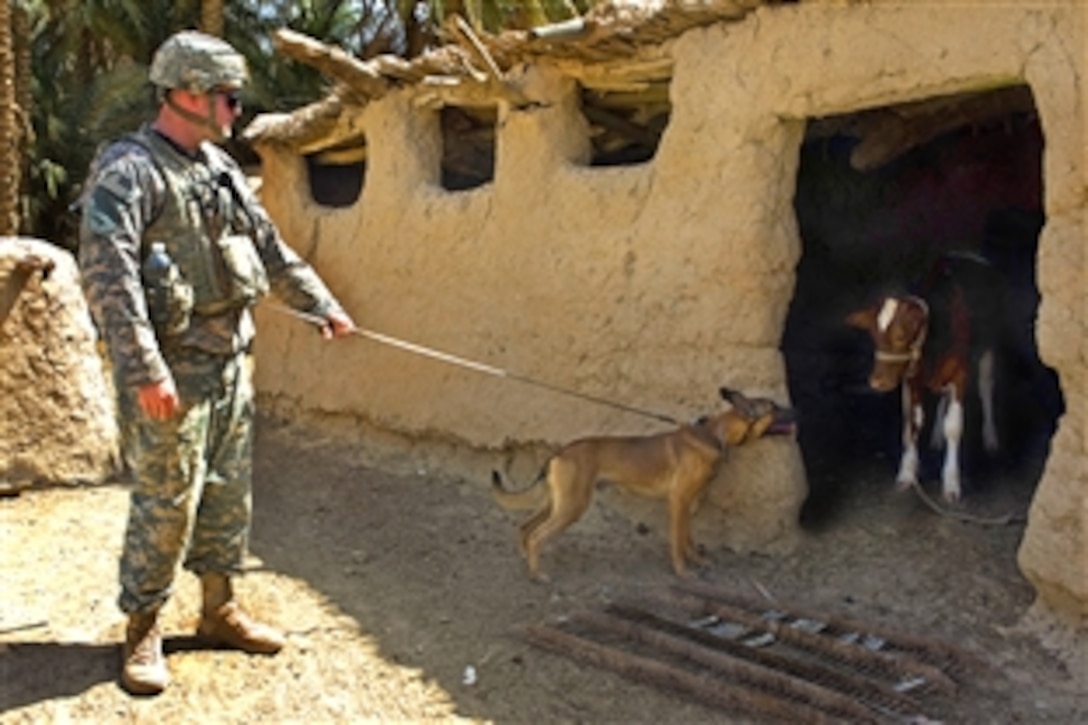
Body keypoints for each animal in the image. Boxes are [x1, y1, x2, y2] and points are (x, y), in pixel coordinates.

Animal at [498, 387, 796, 579]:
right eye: (774, 407)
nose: (798, 409)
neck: (714, 435)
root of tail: (559, 452)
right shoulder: (678, 501)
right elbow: (677, 540)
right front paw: (682, 571)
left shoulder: (687, 504)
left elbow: (688, 537)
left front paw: (697, 561)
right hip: (572, 506)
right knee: (536, 535)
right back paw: (538, 574)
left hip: (556, 503)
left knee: (525, 528)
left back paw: (527, 562)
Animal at [844, 251, 1005, 500]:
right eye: (873, 336)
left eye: (900, 336)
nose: (876, 382)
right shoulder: (912, 380)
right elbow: (913, 423)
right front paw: (907, 473)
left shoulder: (960, 374)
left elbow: (954, 427)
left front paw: (951, 482)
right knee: (941, 396)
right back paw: (937, 436)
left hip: (989, 345)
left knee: (985, 387)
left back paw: (990, 438)